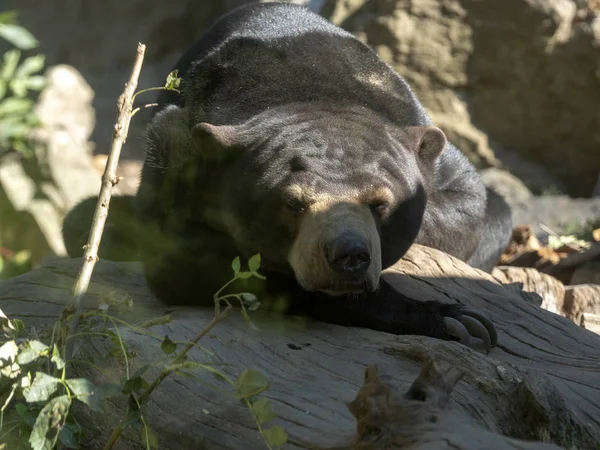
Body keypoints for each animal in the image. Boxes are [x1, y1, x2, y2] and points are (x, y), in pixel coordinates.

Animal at [63, 1, 510, 352]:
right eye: (293, 202)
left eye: (380, 204)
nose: (349, 256)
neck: (312, 90)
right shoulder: (175, 149)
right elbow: (190, 259)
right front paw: (453, 319)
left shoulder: (418, 125)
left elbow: (472, 200)